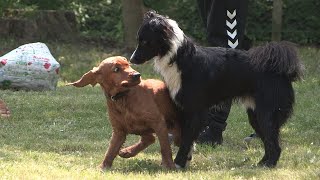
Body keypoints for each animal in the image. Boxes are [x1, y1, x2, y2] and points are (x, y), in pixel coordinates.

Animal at [129, 10, 302, 168]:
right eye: (139, 40)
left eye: (145, 42)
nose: (131, 59)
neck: (180, 58)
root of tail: (282, 70)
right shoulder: (184, 109)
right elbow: (186, 138)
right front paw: (186, 160)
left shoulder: (196, 110)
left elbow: (186, 139)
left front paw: (178, 163)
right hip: (255, 115)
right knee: (269, 142)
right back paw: (261, 163)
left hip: (266, 114)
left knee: (275, 145)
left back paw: (269, 165)